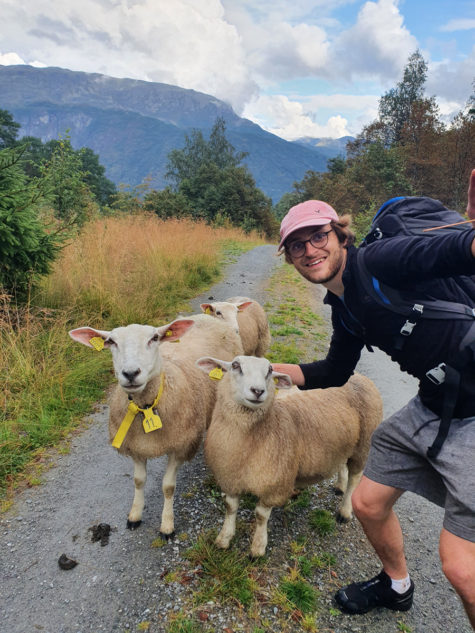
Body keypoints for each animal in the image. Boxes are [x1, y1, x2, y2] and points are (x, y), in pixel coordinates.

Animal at [69, 316, 244, 540]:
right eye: (111, 342)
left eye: (154, 338)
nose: (130, 373)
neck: (146, 406)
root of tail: (206, 317)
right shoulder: (135, 446)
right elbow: (138, 481)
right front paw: (134, 515)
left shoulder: (179, 447)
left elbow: (168, 487)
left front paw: (167, 525)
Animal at [195, 354, 384, 556]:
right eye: (236, 365)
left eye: (270, 370)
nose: (258, 391)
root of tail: (357, 375)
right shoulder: (229, 478)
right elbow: (230, 507)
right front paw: (224, 539)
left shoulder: (274, 486)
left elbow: (261, 515)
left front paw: (258, 547)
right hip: (344, 442)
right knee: (342, 464)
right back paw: (340, 486)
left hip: (364, 444)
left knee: (355, 478)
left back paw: (345, 511)